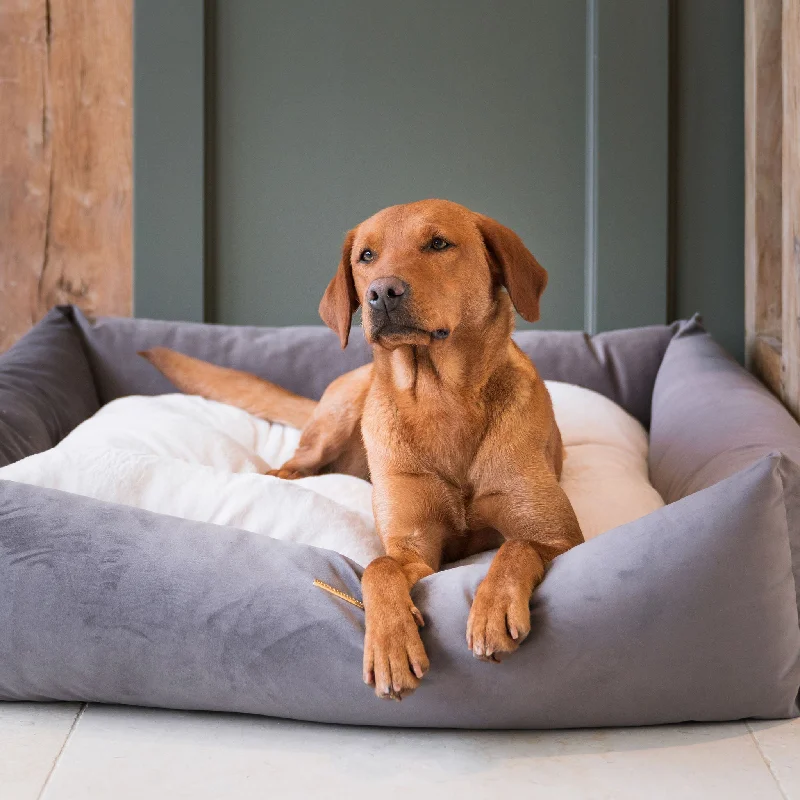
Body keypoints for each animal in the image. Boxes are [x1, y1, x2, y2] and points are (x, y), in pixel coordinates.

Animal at [142, 200, 580, 700]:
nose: (381, 292)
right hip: (340, 410)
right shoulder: (413, 550)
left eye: (439, 243)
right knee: (296, 462)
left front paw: (493, 608)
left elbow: (517, 547)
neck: (443, 399)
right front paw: (390, 646)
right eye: (366, 256)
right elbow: (378, 568)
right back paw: (277, 476)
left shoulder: (561, 537)